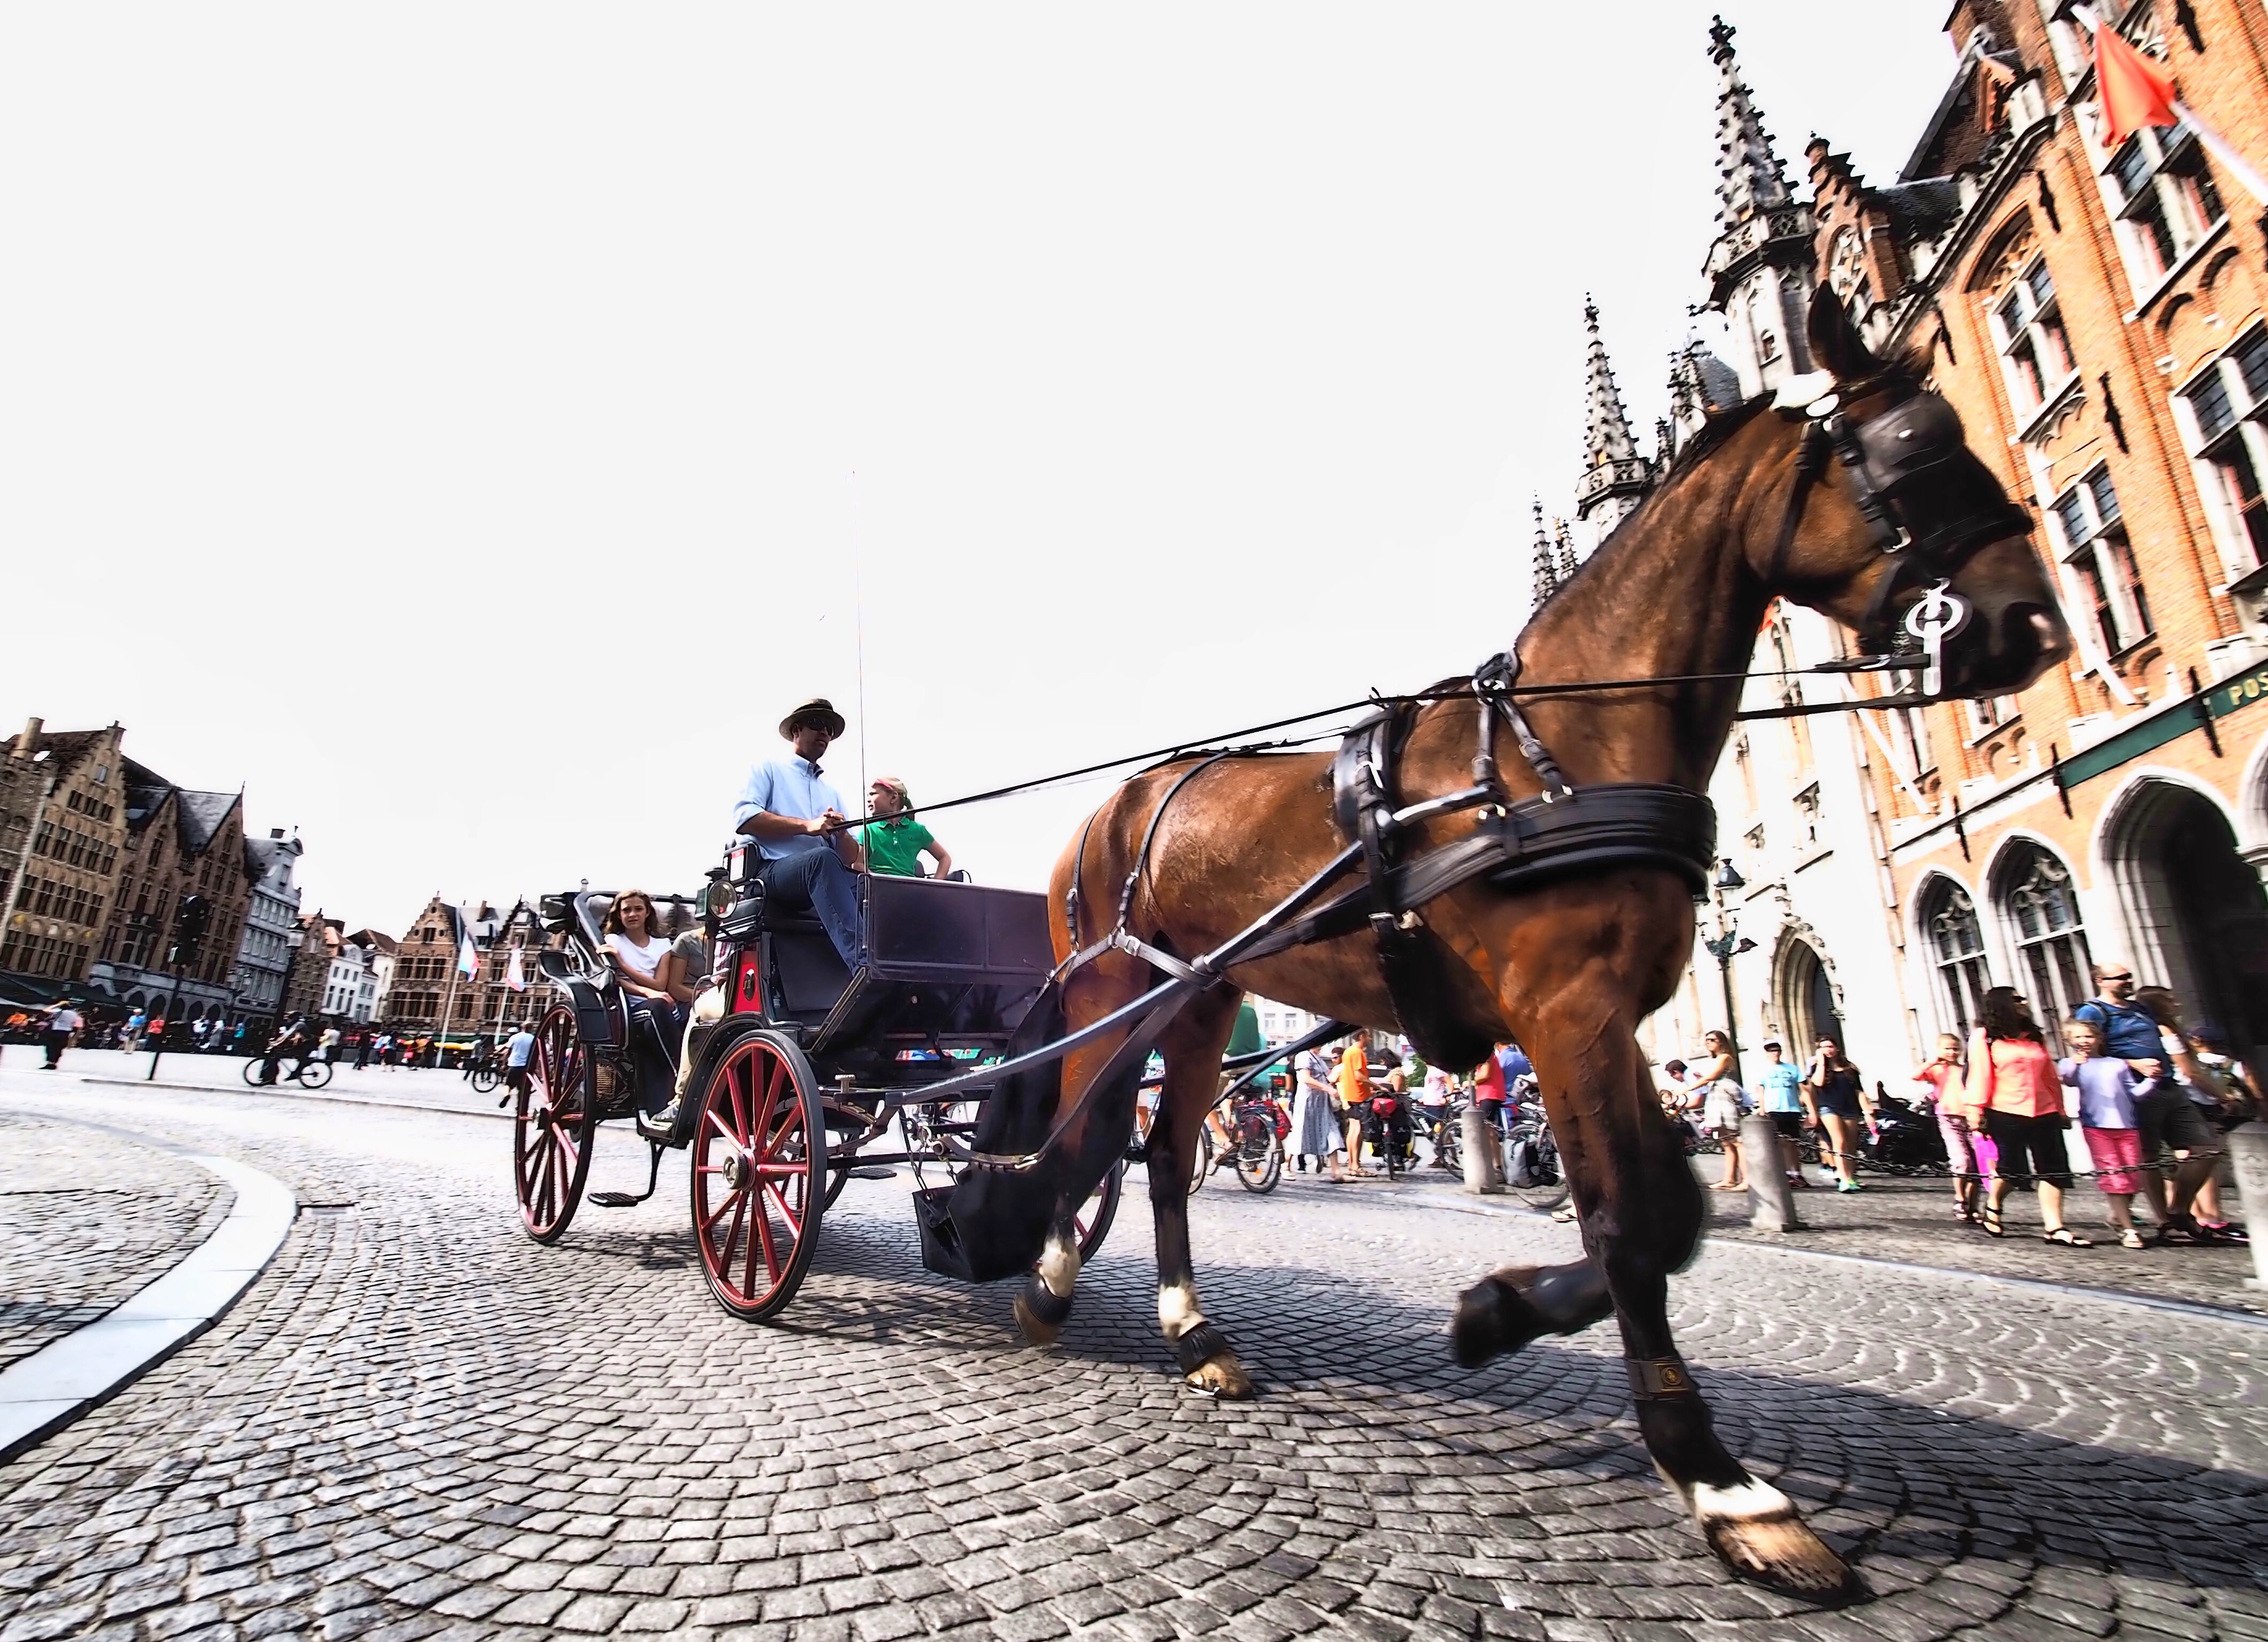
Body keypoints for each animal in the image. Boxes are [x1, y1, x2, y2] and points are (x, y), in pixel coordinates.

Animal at [998, 292, 2077, 1587]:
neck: (1562, 747)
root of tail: (1116, 802)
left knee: (1157, 1155)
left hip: (1201, 999)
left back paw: (1190, 1331)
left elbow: (1668, 1209)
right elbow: (1625, 1218)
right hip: (1113, 989)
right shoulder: (1564, 1009)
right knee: (1081, 1137)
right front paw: (1720, 1482)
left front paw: (1502, 1312)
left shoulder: (1614, 1014)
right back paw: (1051, 1290)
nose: (2032, 621)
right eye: (1912, 448)